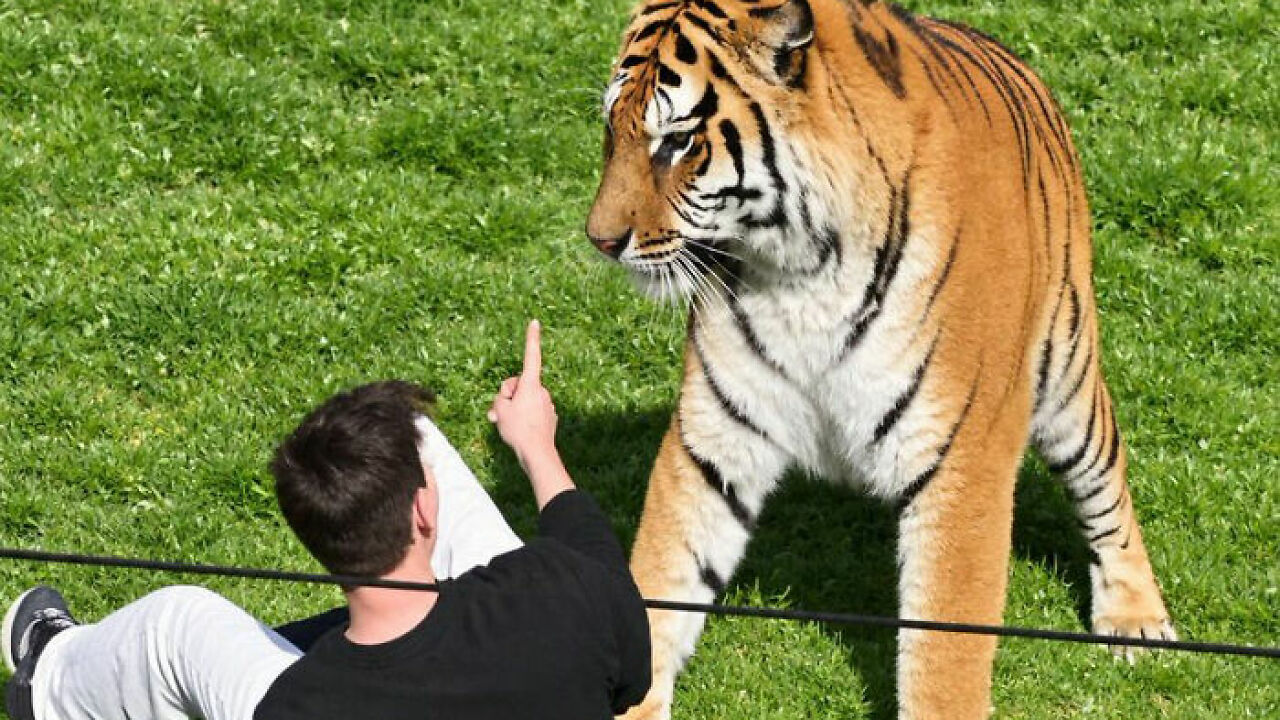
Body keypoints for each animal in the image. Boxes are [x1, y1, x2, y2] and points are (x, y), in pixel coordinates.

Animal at [584, 1, 1175, 718]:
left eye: (677, 142)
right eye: (611, 129)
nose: (600, 240)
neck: (800, 271)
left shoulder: (962, 460)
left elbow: (944, 652)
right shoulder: (715, 438)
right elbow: (663, 577)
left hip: (1066, 374)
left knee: (1106, 481)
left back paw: (1135, 620)